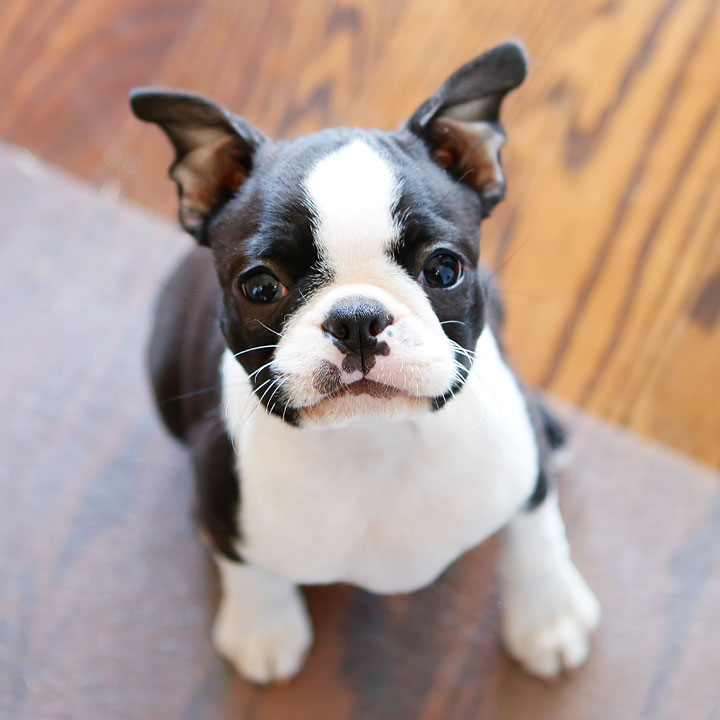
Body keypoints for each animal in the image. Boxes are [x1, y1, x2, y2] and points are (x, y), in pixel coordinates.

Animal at [131, 40, 600, 688]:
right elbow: (244, 564)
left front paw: (548, 618)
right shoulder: (217, 479)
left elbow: (537, 531)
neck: (373, 440)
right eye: (259, 287)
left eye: (444, 269)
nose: (356, 317)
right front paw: (262, 629)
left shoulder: (522, 462)